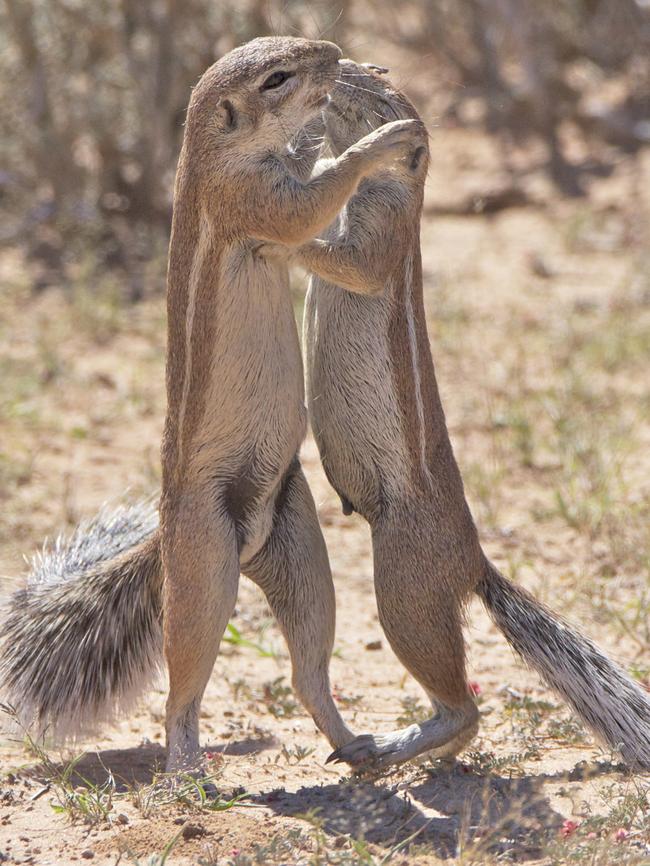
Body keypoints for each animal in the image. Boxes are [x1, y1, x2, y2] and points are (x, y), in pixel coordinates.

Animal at [0, 38, 426, 768]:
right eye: (277, 78)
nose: (334, 53)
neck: (210, 151)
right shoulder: (249, 199)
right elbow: (310, 202)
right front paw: (378, 142)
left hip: (297, 544)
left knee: (307, 670)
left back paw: (355, 745)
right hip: (204, 566)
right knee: (182, 688)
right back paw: (187, 770)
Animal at [298, 60, 648, 768]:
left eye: (380, 84)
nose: (338, 65)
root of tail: (473, 562)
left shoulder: (382, 230)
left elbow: (349, 260)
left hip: (402, 582)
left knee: (463, 707)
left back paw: (390, 748)